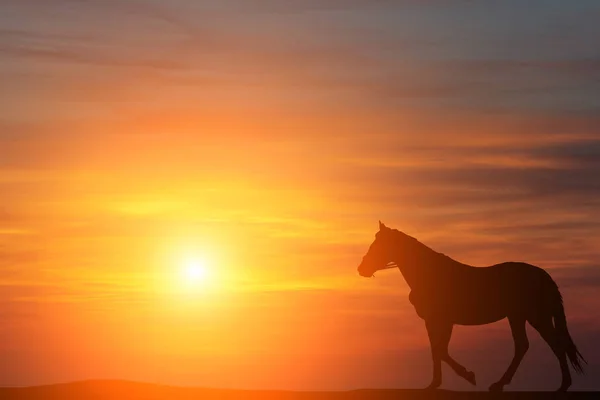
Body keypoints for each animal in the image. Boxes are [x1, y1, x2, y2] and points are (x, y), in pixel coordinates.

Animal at [356, 220, 584, 392]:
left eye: (378, 245)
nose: (361, 269)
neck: (430, 274)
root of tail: (543, 275)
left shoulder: (443, 320)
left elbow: (440, 350)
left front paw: (468, 376)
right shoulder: (434, 322)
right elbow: (436, 350)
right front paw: (434, 384)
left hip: (536, 316)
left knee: (554, 343)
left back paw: (563, 386)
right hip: (517, 316)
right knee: (523, 345)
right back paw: (501, 384)